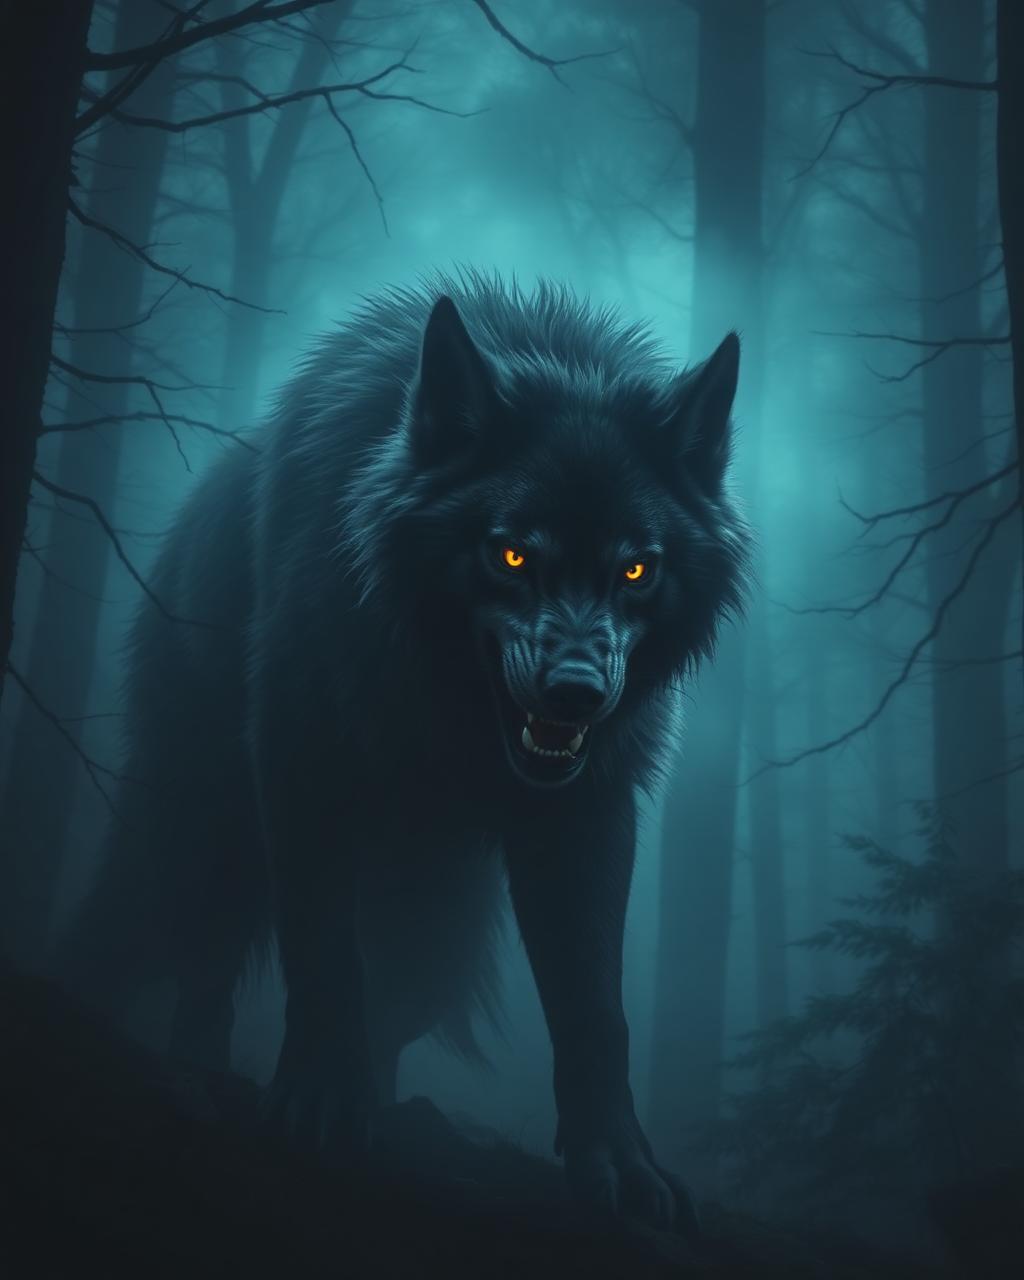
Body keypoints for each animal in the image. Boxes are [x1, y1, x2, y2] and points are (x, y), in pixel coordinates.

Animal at [59, 275, 749, 1230]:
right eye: (511, 554)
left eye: (636, 570)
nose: (576, 692)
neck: (446, 720)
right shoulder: (304, 764)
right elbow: (320, 950)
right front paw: (318, 1101)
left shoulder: (587, 815)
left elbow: (594, 1010)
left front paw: (619, 1166)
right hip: (199, 835)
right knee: (162, 945)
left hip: (438, 923)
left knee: (370, 1002)